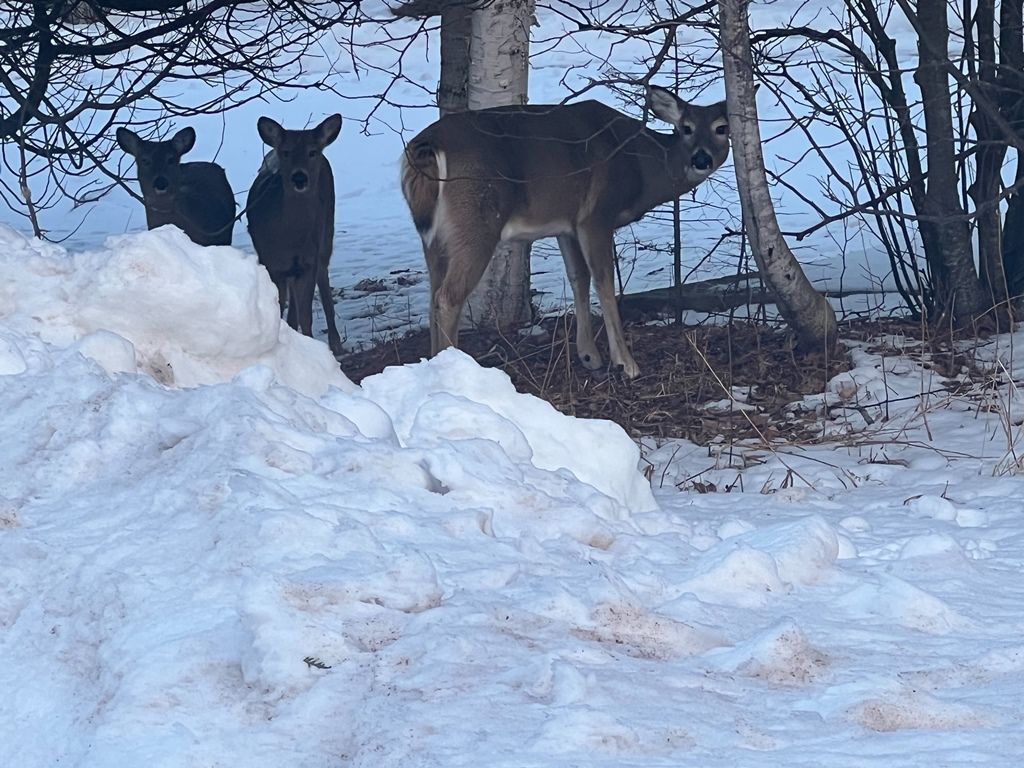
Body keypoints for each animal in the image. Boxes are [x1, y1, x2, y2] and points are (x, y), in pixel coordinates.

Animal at [246, 114, 344, 357]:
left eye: (312, 152)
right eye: (286, 152)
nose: (300, 178)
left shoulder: (308, 262)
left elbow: (306, 315)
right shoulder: (271, 263)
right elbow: (280, 307)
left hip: (326, 231)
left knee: (324, 277)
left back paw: (336, 343)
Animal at [400, 85, 730, 379]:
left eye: (721, 128)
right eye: (686, 128)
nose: (701, 158)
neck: (639, 165)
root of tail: (426, 146)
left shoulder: (566, 225)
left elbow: (578, 278)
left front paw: (589, 356)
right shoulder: (596, 215)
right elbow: (604, 282)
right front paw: (626, 363)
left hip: (435, 237)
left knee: (432, 296)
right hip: (475, 222)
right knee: (447, 297)